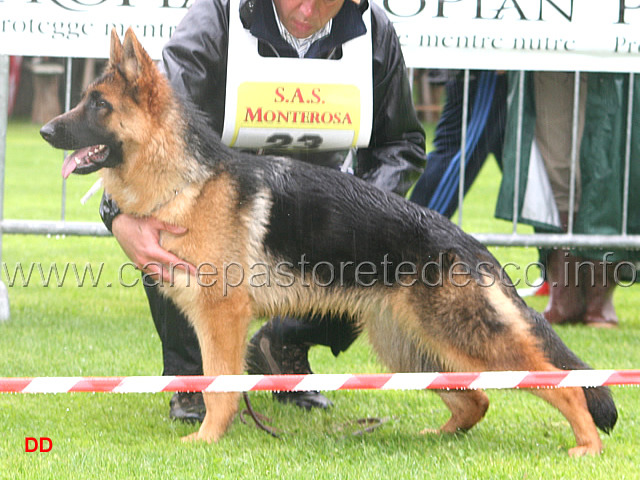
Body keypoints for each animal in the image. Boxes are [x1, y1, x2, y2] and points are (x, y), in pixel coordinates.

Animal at [38, 28, 616, 456]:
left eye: (98, 104)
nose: (44, 131)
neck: (187, 181)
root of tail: (468, 242)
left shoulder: (222, 318)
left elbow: (221, 386)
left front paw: (206, 438)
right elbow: (209, 380)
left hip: (462, 338)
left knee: (558, 380)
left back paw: (586, 445)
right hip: (411, 347)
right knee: (475, 402)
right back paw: (431, 437)